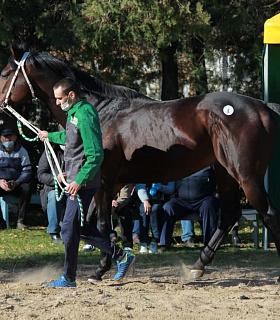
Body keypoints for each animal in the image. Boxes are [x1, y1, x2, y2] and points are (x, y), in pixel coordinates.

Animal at [1, 45, 280, 280]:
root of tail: (263, 106)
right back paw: (198, 266)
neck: (101, 111)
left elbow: (102, 224)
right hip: (226, 173)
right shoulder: (106, 185)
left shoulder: (104, 183)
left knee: (268, 214)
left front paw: (101, 269)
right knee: (230, 215)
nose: (0, 105)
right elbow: (91, 223)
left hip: (246, 175)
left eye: (5, 73)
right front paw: (109, 263)